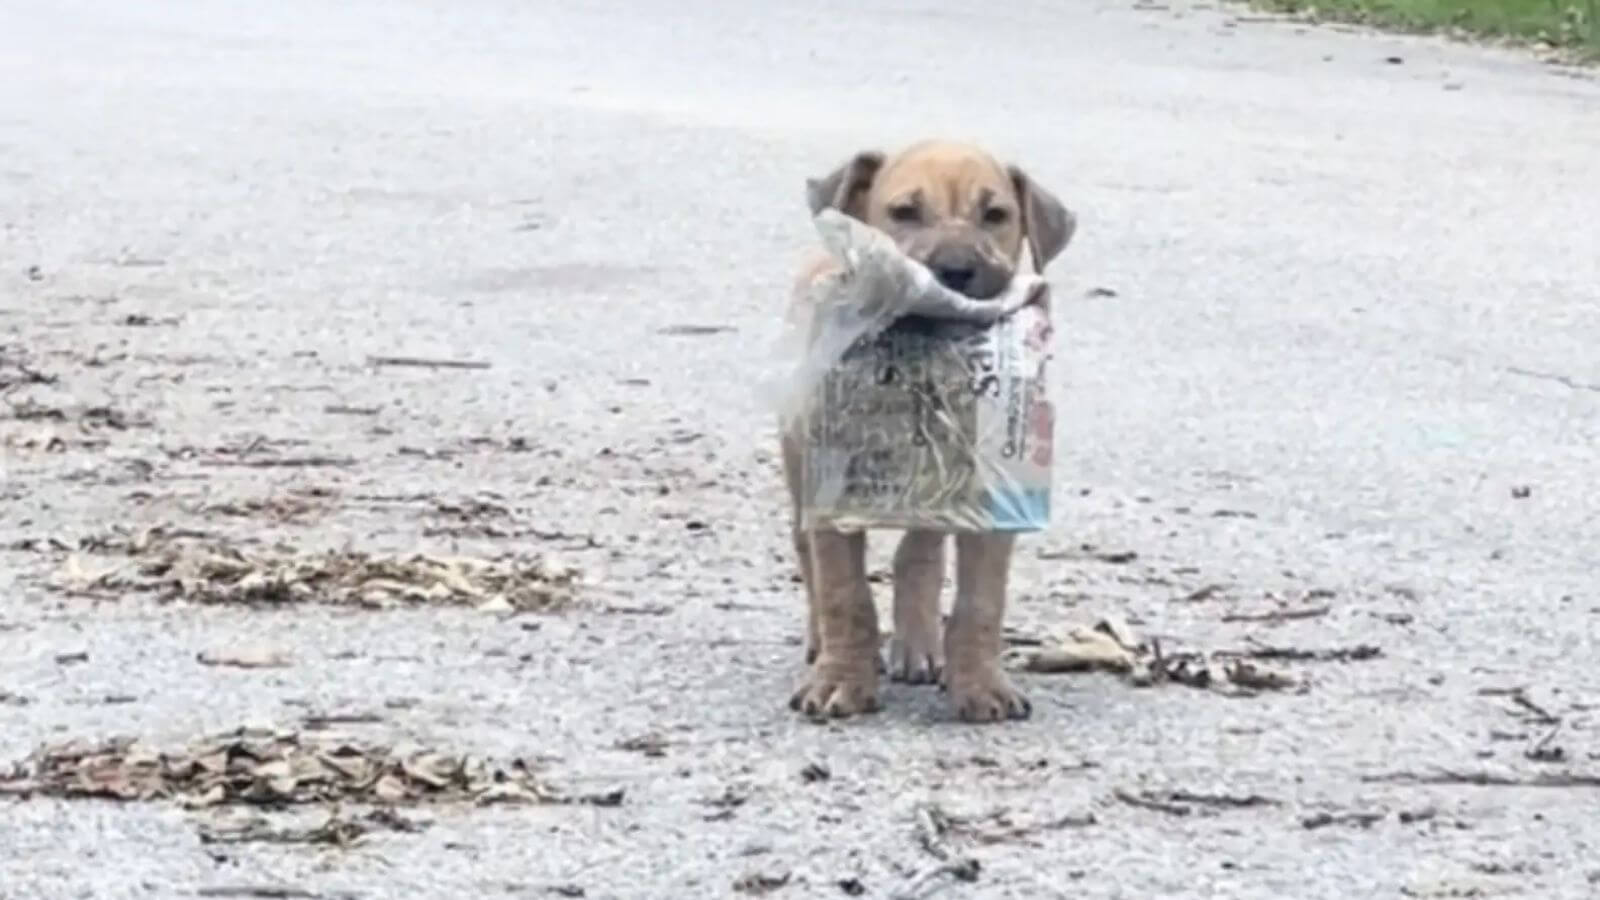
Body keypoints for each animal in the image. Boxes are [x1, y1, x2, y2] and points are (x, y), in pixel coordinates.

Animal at [777, 143, 1075, 723]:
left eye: (996, 215)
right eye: (905, 212)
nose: (956, 271)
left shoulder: (990, 501)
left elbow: (980, 601)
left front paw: (981, 685)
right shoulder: (832, 496)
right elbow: (844, 593)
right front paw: (841, 680)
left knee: (919, 552)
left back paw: (919, 647)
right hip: (799, 465)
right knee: (808, 555)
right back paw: (821, 644)